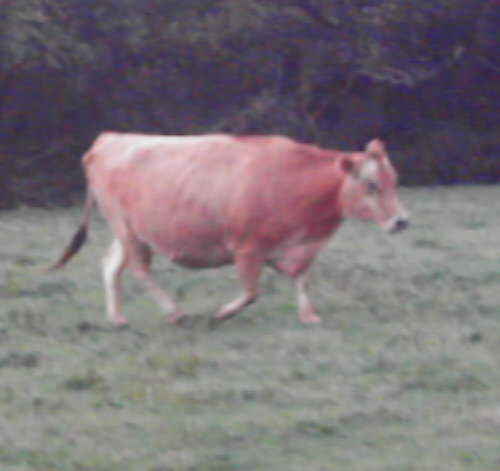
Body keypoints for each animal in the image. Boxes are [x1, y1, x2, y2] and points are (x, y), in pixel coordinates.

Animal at [50, 132, 408, 326]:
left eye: (394, 180)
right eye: (372, 185)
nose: (401, 221)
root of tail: (108, 139)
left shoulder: (298, 248)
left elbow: (302, 279)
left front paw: (308, 316)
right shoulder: (247, 248)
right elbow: (251, 293)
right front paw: (222, 314)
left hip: (130, 233)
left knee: (111, 266)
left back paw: (117, 318)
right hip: (128, 230)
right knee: (140, 271)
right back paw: (175, 312)